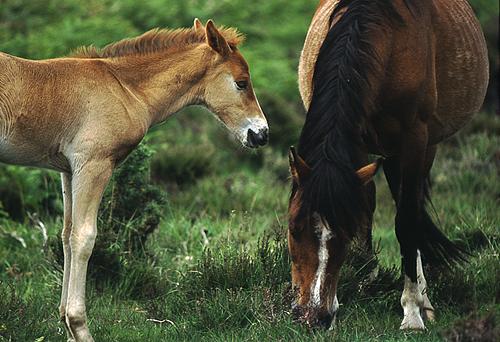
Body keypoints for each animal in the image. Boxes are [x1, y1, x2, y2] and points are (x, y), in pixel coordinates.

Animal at [0, 19, 270, 342]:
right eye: (241, 82)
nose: (261, 134)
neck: (125, 88)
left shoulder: (67, 170)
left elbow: (66, 236)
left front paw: (67, 325)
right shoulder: (93, 164)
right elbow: (84, 238)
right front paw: (79, 326)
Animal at [290, 0, 488, 332]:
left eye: (344, 234)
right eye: (293, 229)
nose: (313, 316)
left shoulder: (414, 140)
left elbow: (406, 221)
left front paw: (412, 312)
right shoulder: (357, 142)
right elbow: (363, 205)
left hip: (421, 148)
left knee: (412, 207)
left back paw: (422, 300)